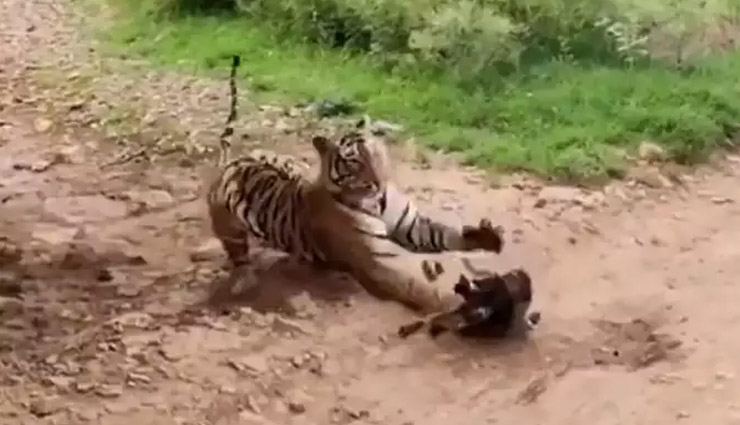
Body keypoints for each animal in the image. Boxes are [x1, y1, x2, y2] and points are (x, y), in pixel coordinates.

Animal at [205, 55, 506, 314]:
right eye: (353, 162)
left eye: (373, 151)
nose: (379, 182)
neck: (378, 201)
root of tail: (231, 161)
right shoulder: (379, 259)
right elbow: (417, 285)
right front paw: (453, 303)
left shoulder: (412, 226)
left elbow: (446, 233)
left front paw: (487, 236)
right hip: (228, 227)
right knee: (239, 256)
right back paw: (245, 280)